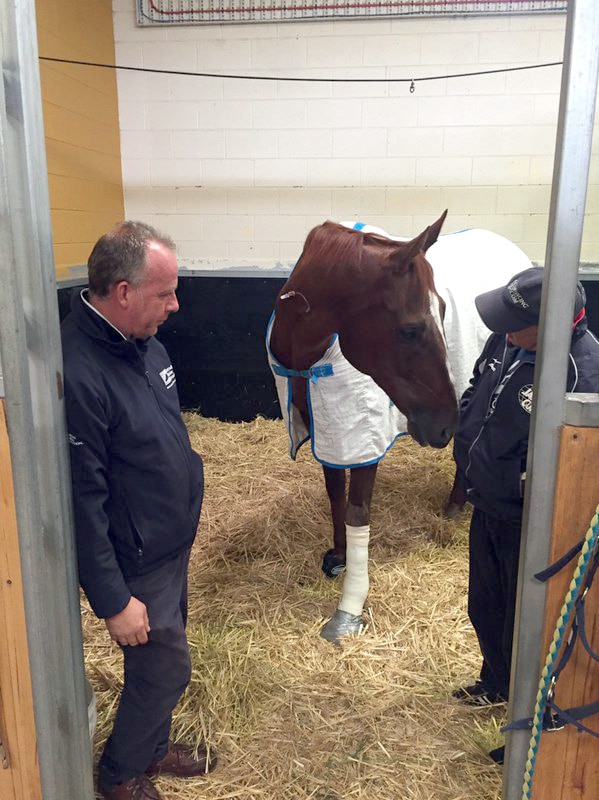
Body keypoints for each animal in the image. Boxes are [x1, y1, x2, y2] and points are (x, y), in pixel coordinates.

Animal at [268, 212, 460, 644]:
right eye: (410, 330)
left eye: (443, 310)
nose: (445, 425)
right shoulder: (329, 433)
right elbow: (334, 496)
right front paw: (339, 556)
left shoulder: (362, 440)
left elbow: (358, 512)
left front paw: (349, 606)